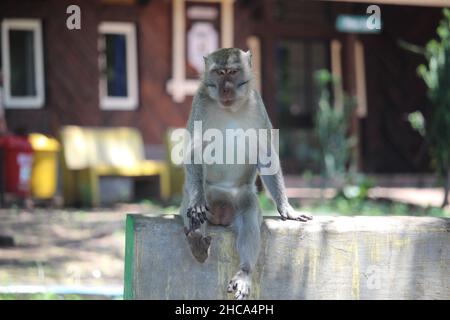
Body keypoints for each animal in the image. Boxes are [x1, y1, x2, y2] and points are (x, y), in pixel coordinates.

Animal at [180, 47, 312, 300]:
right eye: (219, 72)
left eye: (232, 72)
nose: (226, 88)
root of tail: (221, 215)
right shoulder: (200, 102)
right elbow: (195, 150)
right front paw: (197, 203)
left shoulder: (257, 105)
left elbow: (266, 153)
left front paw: (286, 207)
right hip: (206, 194)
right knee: (192, 208)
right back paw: (197, 240)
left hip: (241, 196)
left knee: (249, 216)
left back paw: (244, 273)